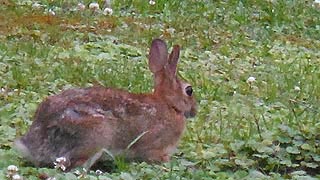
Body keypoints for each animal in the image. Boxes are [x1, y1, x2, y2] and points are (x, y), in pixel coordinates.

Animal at [15, 38, 198, 171]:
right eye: (189, 90)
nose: (195, 111)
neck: (169, 104)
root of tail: (34, 146)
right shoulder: (154, 146)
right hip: (96, 137)